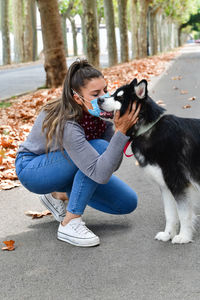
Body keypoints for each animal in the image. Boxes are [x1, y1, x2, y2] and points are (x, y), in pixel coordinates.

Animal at [98, 79, 200, 244]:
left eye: (119, 98)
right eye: (112, 94)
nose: (99, 100)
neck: (148, 129)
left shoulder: (177, 183)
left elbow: (184, 213)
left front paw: (184, 236)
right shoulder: (165, 186)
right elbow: (170, 214)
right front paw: (168, 234)